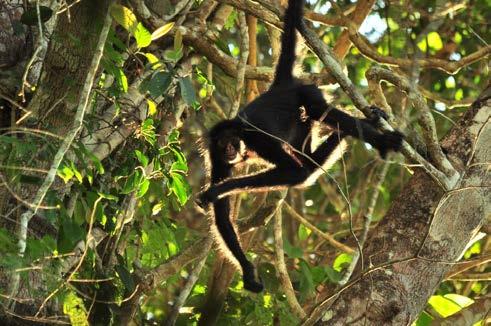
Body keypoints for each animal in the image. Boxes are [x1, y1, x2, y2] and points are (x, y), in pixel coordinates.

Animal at [196, 0, 404, 292]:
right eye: (222, 143)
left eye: (232, 141)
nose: (230, 150)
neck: (241, 139)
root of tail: (280, 87)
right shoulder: (215, 157)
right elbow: (223, 215)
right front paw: (248, 270)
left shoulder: (256, 137)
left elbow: (294, 171)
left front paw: (218, 189)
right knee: (309, 161)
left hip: (308, 93)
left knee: (317, 125)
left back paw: (380, 138)